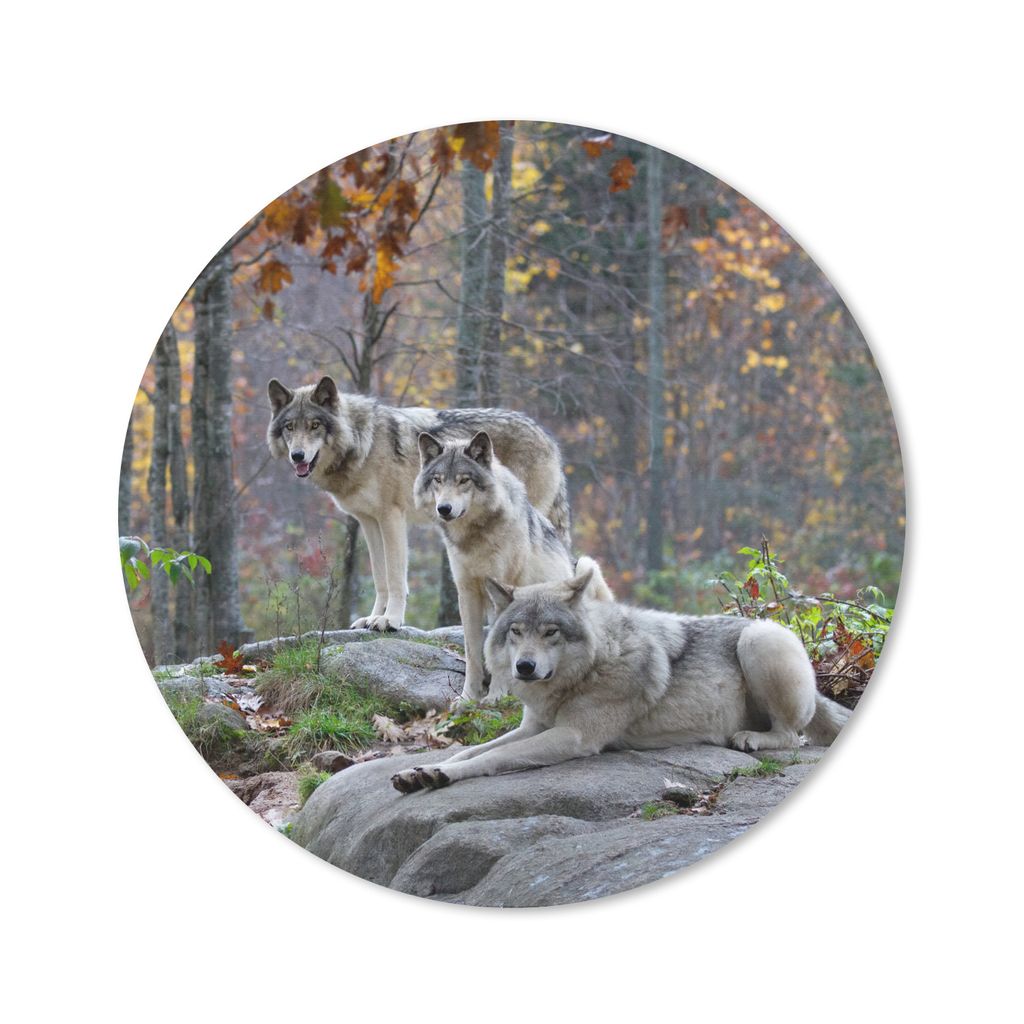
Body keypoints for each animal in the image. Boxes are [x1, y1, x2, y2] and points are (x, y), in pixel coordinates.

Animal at [266, 376, 570, 630]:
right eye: (290, 427)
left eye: (315, 425)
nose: (297, 455)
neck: (363, 443)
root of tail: (548, 437)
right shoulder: (368, 521)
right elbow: (380, 577)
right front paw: (372, 617)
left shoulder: (391, 517)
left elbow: (395, 577)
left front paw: (390, 620)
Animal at [391, 560, 850, 792]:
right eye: (517, 632)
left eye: (551, 632)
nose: (525, 666)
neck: (592, 667)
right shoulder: (534, 727)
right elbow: (469, 751)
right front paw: (426, 769)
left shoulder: (573, 736)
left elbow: (490, 758)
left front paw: (444, 775)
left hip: (758, 639)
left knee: (792, 736)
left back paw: (750, 738)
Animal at [413, 430, 607, 703]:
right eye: (438, 480)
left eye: (464, 480)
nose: (444, 509)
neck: (475, 538)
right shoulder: (467, 593)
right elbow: (473, 652)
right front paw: (468, 698)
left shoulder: (503, 591)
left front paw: (496, 695)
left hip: (587, 566)